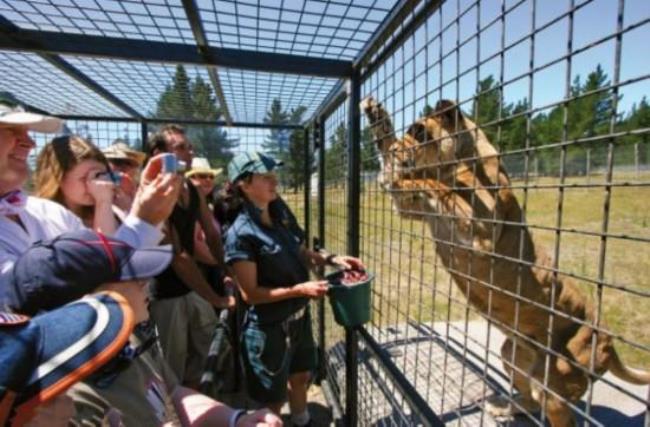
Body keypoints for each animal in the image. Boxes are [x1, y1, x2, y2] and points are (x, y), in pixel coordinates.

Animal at [360, 97, 648, 427]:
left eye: (419, 132)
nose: (400, 150)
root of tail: (609, 338)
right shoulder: (413, 210)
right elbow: (394, 154)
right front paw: (377, 118)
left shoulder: (482, 234)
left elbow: (433, 183)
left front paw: (398, 172)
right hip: (513, 355)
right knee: (530, 400)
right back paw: (502, 408)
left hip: (555, 383)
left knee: (556, 410)